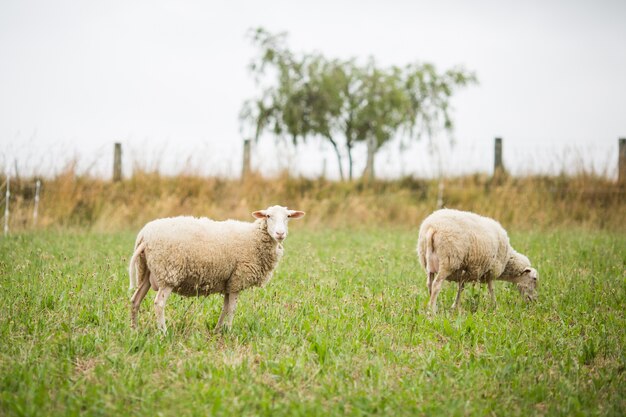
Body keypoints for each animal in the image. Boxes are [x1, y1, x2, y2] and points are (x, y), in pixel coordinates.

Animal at [128, 204, 304, 332]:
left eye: (288, 217)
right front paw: (230, 331)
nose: (280, 233)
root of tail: (144, 236)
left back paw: (134, 330)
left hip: (146, 271)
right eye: (268, 216)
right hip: (168, 273)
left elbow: (225, 308)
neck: (254, 237)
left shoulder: (229, 281)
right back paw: (163, 332)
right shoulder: (238, 279)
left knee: (135, 300)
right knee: (159, 304)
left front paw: (218, 330)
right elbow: (232, 309)